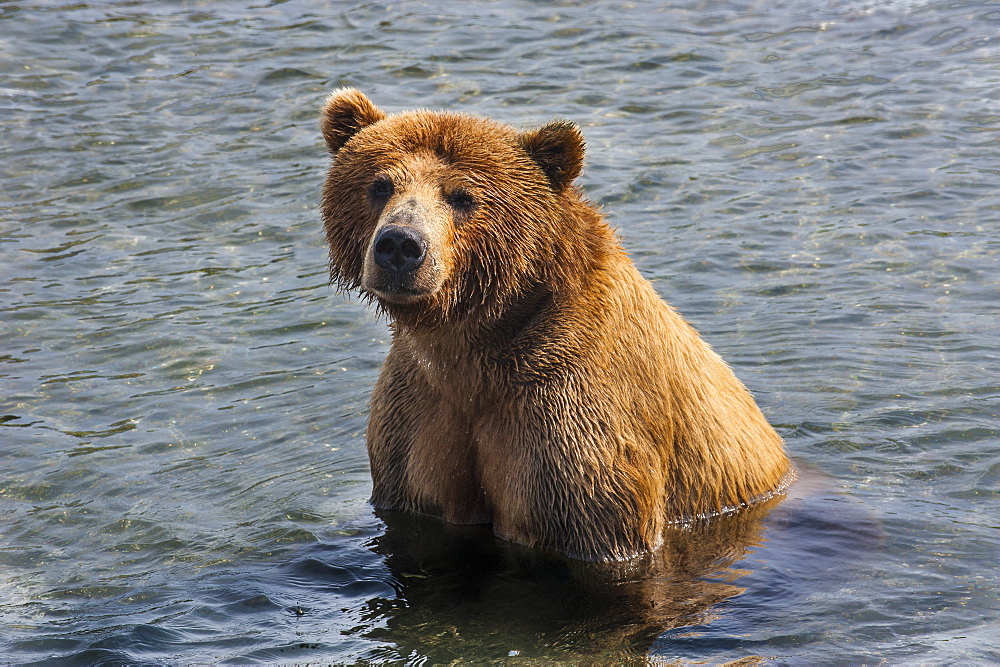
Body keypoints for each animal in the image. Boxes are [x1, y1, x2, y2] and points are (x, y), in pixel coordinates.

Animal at [318, 86, 788, 560]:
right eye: (379, 185)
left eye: (462, 196)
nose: (400, 244)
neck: (472, 343)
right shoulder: (416, 414)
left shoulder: (571, 421)